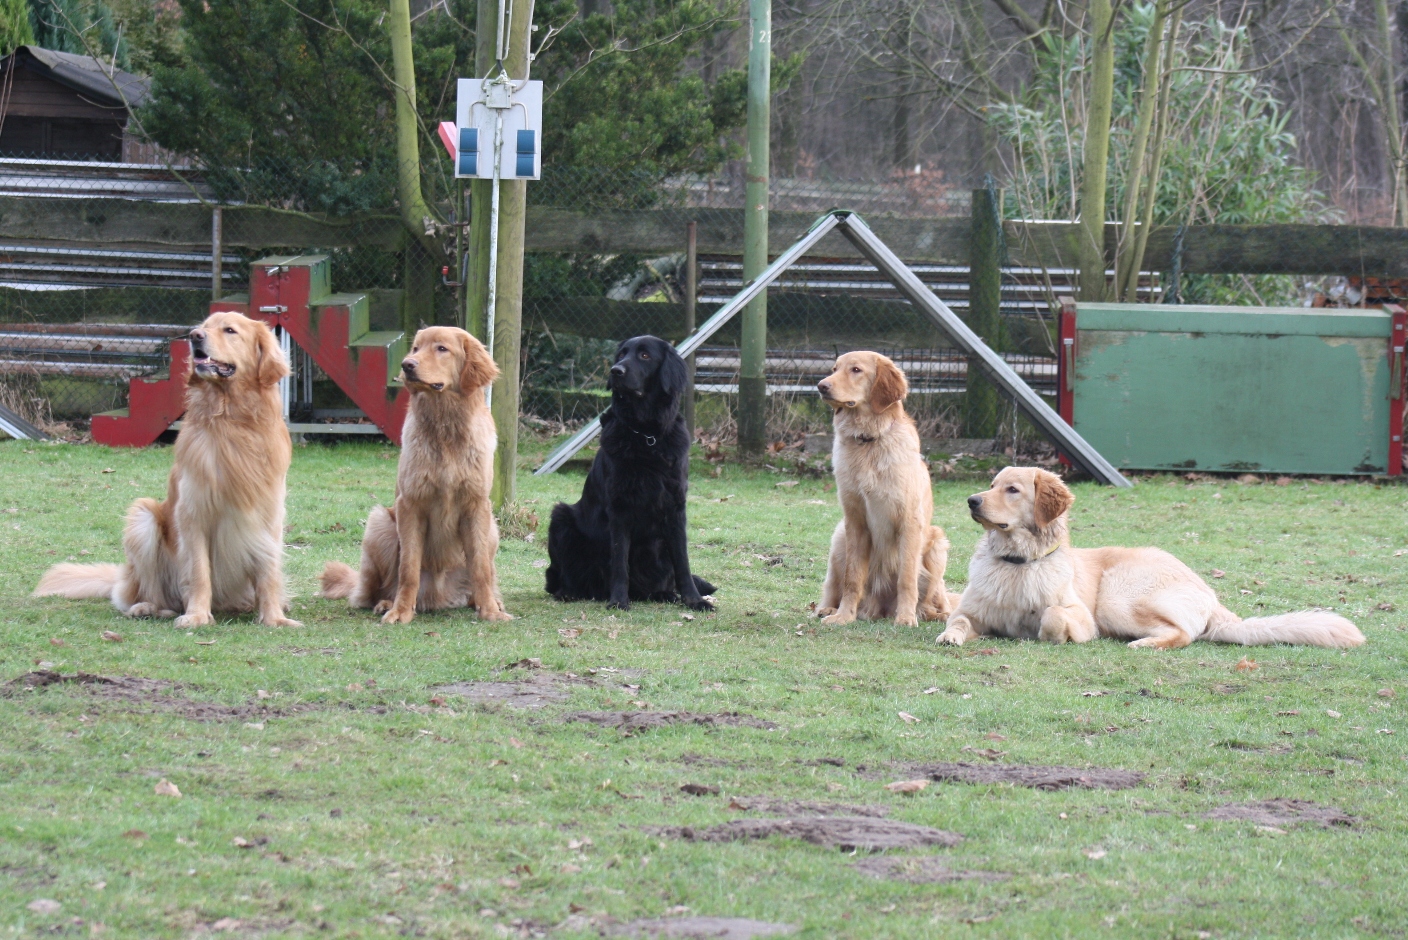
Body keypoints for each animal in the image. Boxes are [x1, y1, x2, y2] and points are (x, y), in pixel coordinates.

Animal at [34, 312, 300, 628]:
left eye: (230, 330)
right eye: (204, 327)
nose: (194, 336)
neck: (232, 421)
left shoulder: (269, 515)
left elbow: (268, 571)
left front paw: (274, 618)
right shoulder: (193, 513)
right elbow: (199, 572)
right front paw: (197, 615)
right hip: (143, 519)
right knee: (141, 594)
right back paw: (149, 607)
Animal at [320, 326, 510, 624]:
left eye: (441, 348)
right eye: (416, 349)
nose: (407, 365)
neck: (446, 429)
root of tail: (439, 597)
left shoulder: (477, 506)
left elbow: (480, 568)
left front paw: (490, 611)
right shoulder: (410, 505)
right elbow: (408, 568)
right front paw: (401, 611)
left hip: (492, 527)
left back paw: (485, 601)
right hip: (379, 524)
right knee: (372, 592)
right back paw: (387, 602)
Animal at [545, 334, 714, 610]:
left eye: (645, 355)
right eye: (621, 354)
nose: (616, 371)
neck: (647, 436)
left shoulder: (675, 508)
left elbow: (683, 562)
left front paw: (694, 600)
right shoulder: (619, 508)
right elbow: (619, 561)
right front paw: (618, 600)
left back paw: (664, 594)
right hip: (561, 518)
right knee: (556, 577)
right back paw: (568, 591)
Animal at [814, 351, 955, 627]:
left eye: (856, 370)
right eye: (834, 369)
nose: (821, 386)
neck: (868, 440)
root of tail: (880, 610)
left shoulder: (909, 523)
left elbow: (907, 579)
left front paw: (906, 618)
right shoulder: (854, 522)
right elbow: (852, 578)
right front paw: (844, 616)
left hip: (936, 544)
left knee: (937, 599)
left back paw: (937, 614)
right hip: (839, 537)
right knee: (834, 586)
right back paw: (827, 609)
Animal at [937, 466, 1366, 649]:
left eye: (1011, 489)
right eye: (991, 484)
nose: (972, 501)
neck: (1017, 562)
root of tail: (1209, 593)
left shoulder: (1082, 617)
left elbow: (1053, 615)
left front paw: (1046, 632)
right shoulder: (973, 611)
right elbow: (957, 619)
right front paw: (949, 636)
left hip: (1116, 601)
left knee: (1184, 635)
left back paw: (1143, 645)